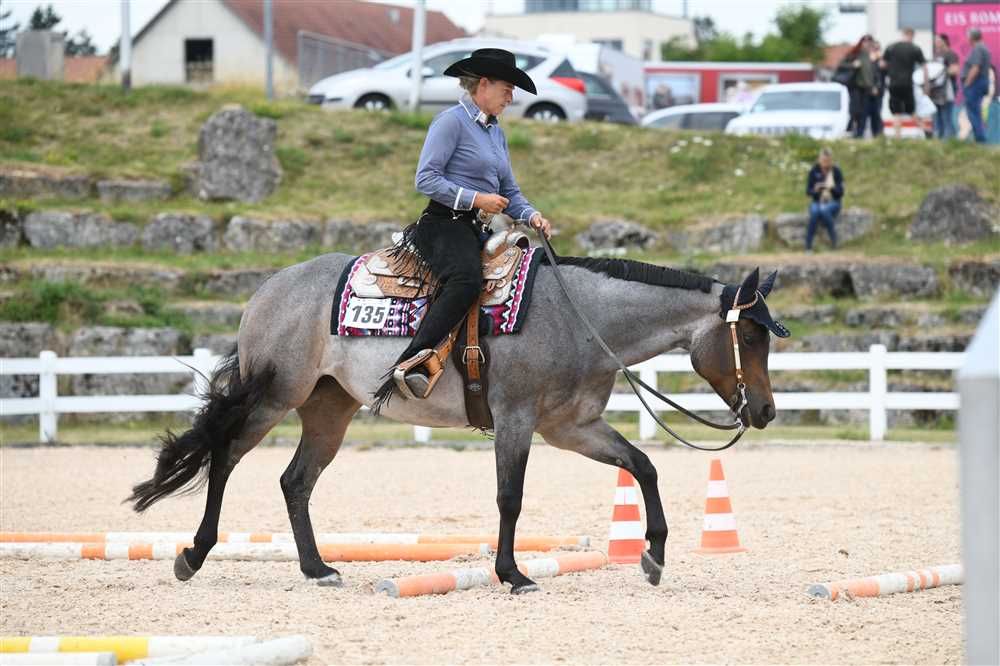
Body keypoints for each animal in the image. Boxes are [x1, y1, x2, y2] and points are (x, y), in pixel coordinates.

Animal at [128, 251, 785, 594]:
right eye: (751, 335)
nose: (765, 411)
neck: (580, 318)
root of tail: (267, 290)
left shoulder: (572, 428)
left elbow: (643, 466)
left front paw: (653, 556)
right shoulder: (518, 420)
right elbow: (509, 497)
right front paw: (513, 573)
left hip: (328, 408)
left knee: (295, 481)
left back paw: (317, 568)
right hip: (273, 396)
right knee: (225, 456)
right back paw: (194, 554)